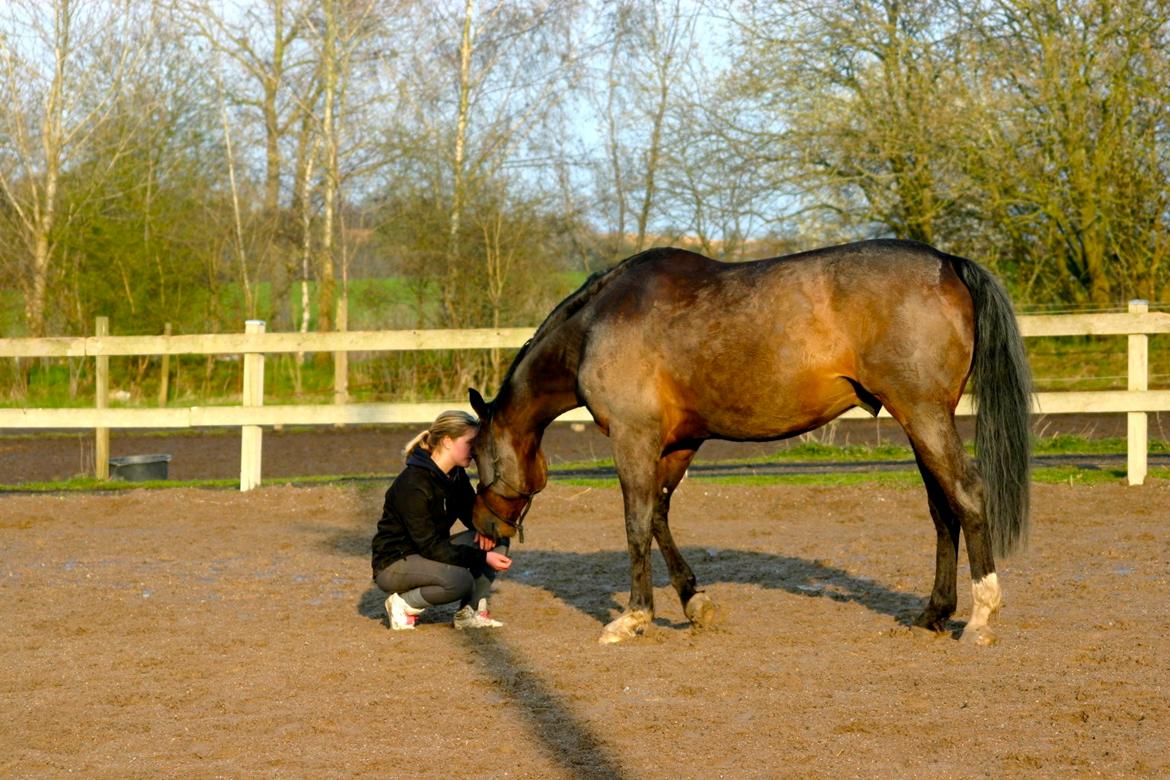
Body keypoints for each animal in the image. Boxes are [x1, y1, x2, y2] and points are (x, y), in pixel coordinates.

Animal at [467, 238, 1034, 645]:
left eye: (476, 458)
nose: (483, 528)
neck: (596, 326)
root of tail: (946, 262)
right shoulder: (678, 444)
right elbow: (660, 519)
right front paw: (695, 603)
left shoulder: (633, 440)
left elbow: (636, 525)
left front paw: (634, 617)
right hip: (920, 422)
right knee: (942, 510)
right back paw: (933, 613)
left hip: (923, 415)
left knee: (967, 494)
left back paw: (981, 617)